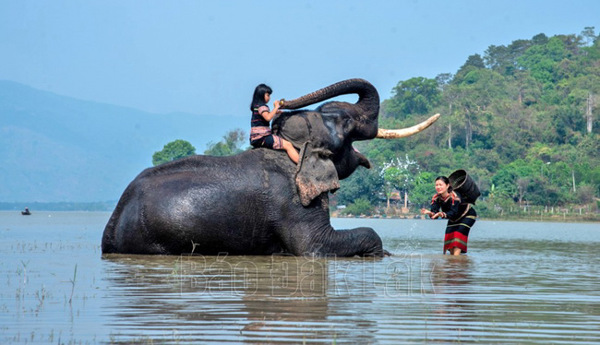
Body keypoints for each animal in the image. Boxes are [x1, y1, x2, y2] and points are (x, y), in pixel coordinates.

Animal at [102, 78, 440, 255]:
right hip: (155, 241)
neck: (290, 146)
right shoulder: (293, 201)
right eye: (345, 124)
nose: (282, 102)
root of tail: (113, 221)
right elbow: (315, 245)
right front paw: (383, 253)